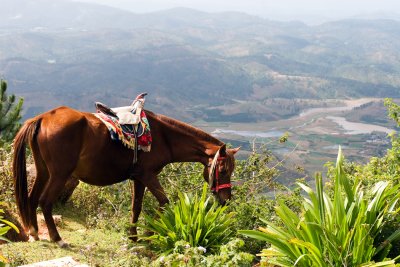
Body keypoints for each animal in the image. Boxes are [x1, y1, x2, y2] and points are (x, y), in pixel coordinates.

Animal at [12, 106, 239, 247]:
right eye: (223, 170)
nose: (226, 199)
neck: (164, 137)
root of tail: (43, 117)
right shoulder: (148, 175)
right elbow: (164, 202)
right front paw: (149, 234)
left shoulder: (138, 178)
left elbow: (136, 207)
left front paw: (133, 237)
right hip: (59, 174)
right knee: (45, 201)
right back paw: (57, 238)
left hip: (43, 171)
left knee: (32, 198)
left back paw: (34, 233)